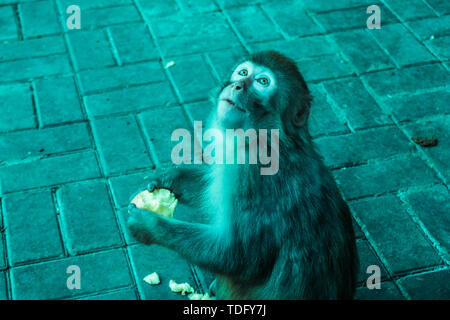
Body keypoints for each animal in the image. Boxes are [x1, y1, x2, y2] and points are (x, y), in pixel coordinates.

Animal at [126, 50, 358, 300]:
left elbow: (238, 257)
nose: (237, 85)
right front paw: (169, 178)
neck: (270, 139)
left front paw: (147, 225)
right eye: (243, 72)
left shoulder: (251, 171)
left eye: (263, 82)